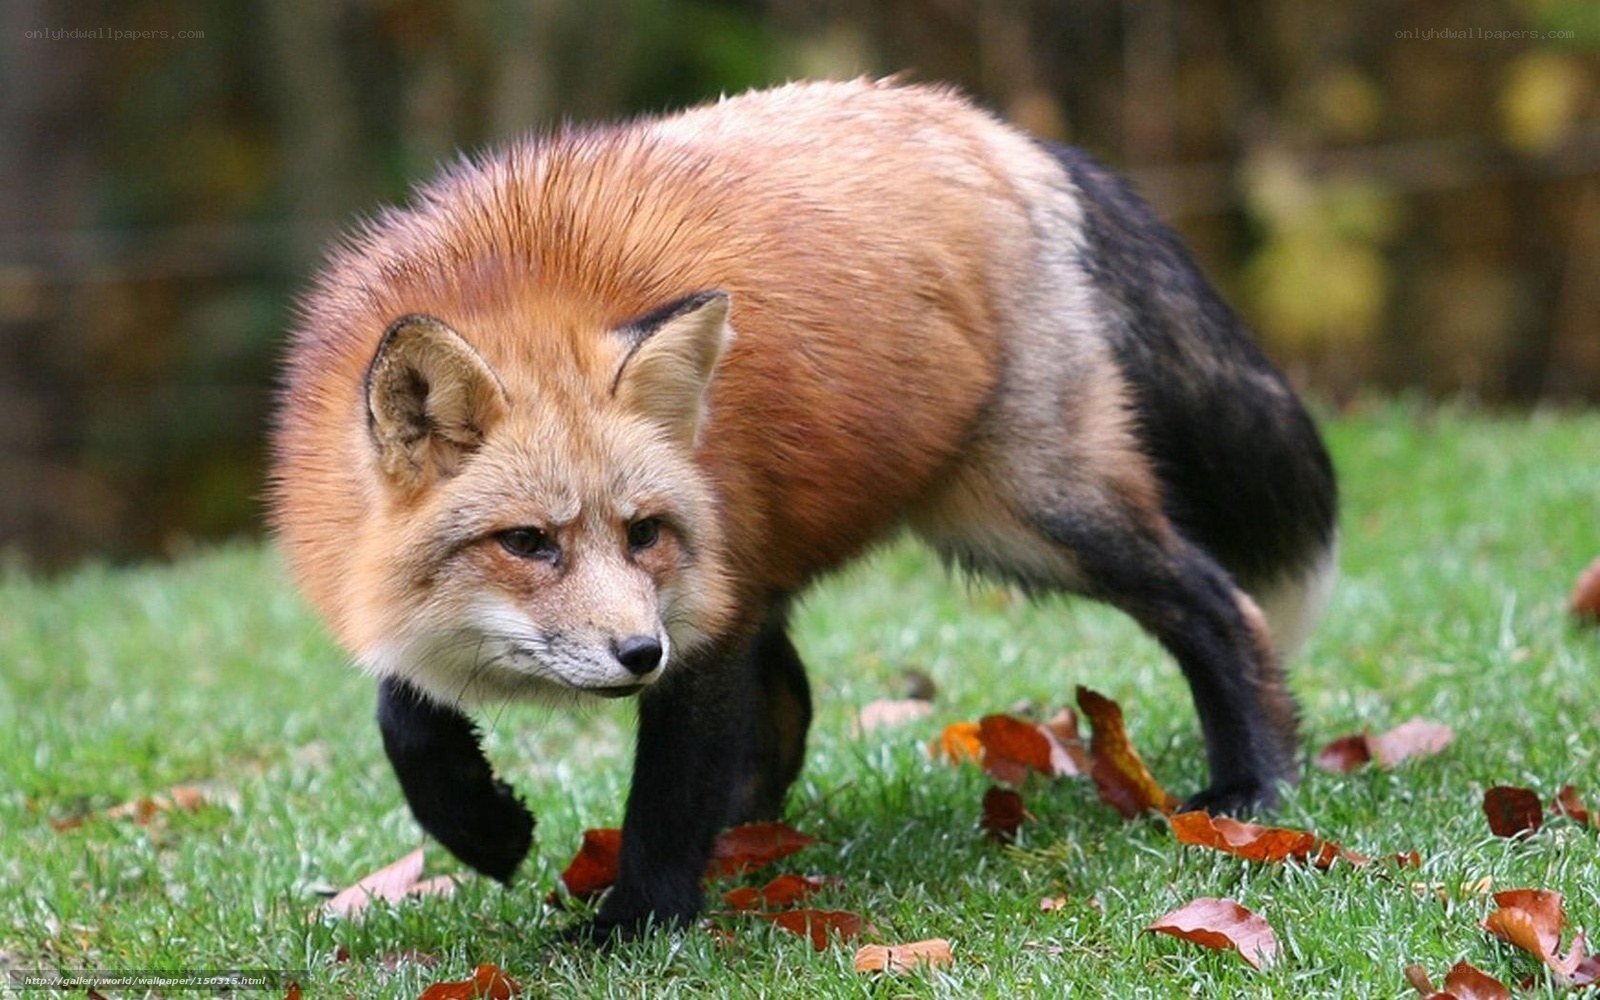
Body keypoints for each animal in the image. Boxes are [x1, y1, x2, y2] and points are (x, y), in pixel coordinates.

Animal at [270, 79, 1337, 942]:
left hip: (1031, 517)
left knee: (1218, 605)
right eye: (527, 542)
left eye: (643, 532)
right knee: (787, 711)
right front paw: (481, 826)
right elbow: (402, 710)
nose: (638, 656)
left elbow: (669, 796)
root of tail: (1005, 134)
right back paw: (756, 843)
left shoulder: (702, 619)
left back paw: (1251, 781)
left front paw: (634, 923)